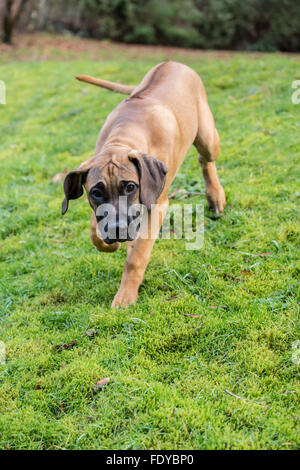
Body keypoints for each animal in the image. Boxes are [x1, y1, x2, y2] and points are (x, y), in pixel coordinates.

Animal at [62, 60, 225, 306]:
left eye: (131, 187)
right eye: (96, 193)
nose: (118, 229)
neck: (123, 139)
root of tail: (172, 62)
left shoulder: (156, 206)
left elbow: (136, 258)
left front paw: (125, 296)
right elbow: (94, 229)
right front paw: (110, 243)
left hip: (207, 137)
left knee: (206, 160)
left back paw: (215, 195)